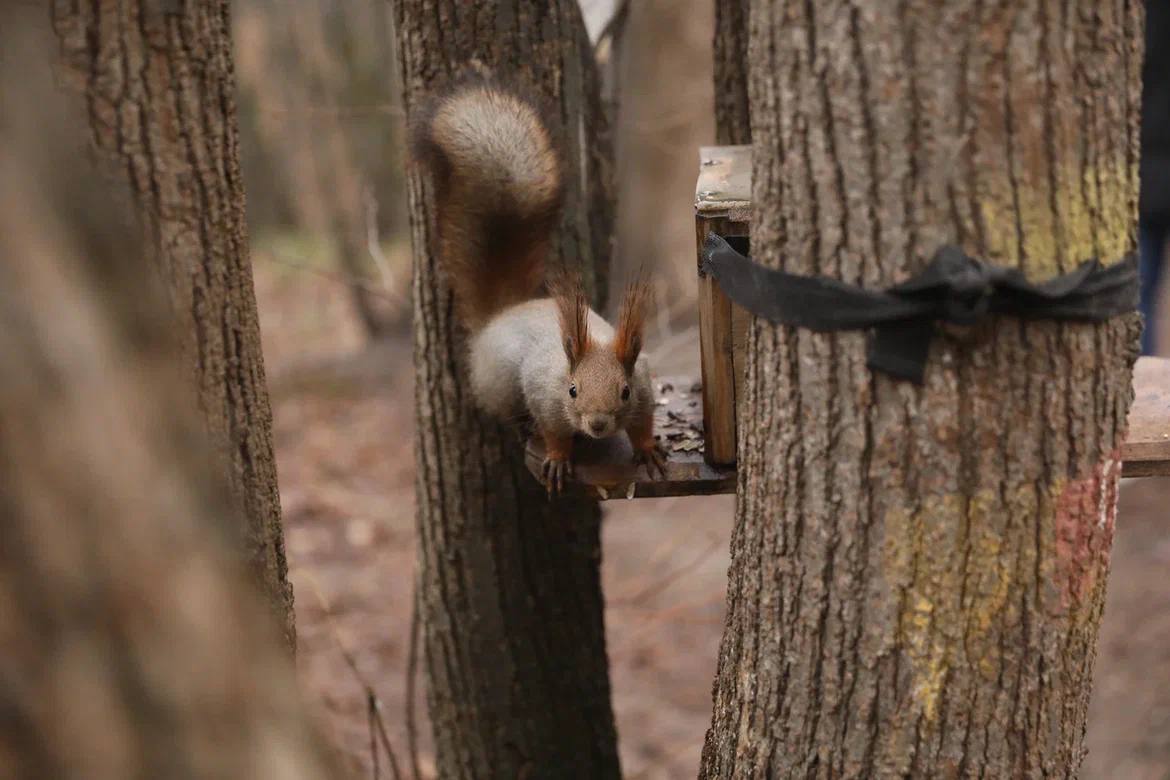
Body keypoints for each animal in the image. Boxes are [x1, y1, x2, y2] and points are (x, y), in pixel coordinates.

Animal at [411, 79, 669, 493]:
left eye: (624, 391)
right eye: (572, 390)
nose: (598, 424)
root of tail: (503, 313)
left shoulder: (644, 391)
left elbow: (643, 424)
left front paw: (647, 450)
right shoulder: (544, 398)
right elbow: (554, 432)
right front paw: (559, 459)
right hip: (499, 384)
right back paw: (523, 429)